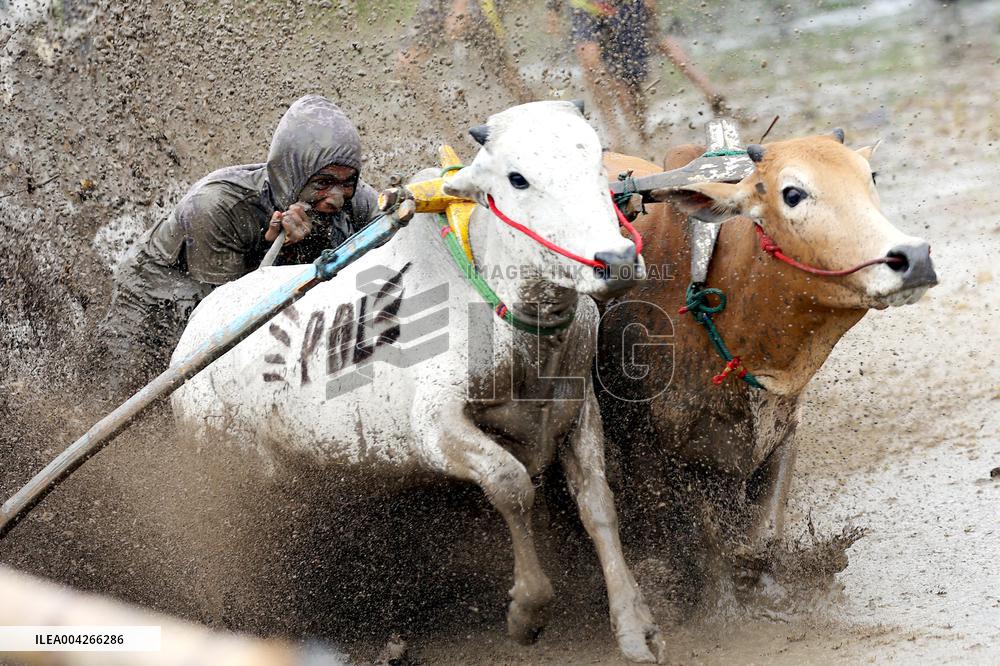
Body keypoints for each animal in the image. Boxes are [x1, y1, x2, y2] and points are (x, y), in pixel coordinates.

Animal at [170, 101, 664, 662]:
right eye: (517, 178)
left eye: (597, 160)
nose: (617, 261)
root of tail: (192, 339)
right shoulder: (434, 427)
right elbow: (512, 484)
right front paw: (527, 611)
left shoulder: (577, 411)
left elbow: (598, 505)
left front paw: (634, 626)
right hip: (235, 472)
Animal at [595, 132, 937, 580]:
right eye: (792, 193)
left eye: (871, 176)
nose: (914, 258)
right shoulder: (653, 457)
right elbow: (698, 561)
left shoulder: (781, 433)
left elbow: (761, 542)